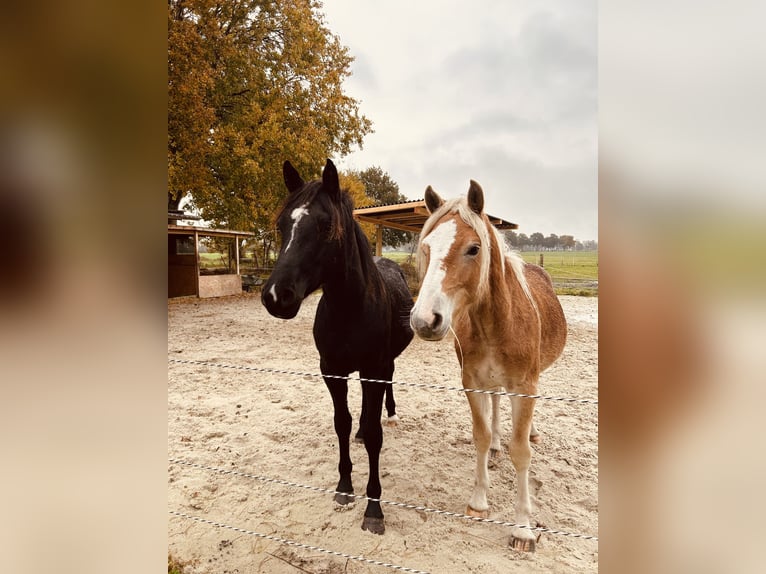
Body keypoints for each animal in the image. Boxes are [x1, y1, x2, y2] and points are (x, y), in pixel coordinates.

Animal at [260, 159, 414, 536]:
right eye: (282, 224)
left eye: (325, 224)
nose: (276, 296)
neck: (350, 309)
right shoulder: (332, 371)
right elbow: (341, 423)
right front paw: (344, 487)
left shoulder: (373, 369)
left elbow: (375, 436)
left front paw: (374, 508)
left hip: (382, 366)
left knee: (386, 389)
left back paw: (391, 412)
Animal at [412, 182, 568, 552]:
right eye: (427, 246)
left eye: (473, 248)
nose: (425, 320)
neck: (497, 321)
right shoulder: (472, 382)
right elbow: (480, 437)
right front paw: (479, 501)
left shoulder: (524, 388)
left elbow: (521, 451)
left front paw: (523, 528)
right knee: (496, 408)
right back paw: (498, 444)